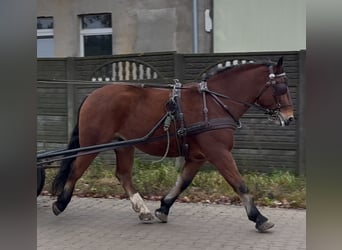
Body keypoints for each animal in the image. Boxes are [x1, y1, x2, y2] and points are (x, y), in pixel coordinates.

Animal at [50, 57, 294, 232]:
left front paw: (163, 207)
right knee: (76, 169)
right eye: (281, 87)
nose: (290, 117)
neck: (214, 103)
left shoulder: (198, 156)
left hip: (123, 144)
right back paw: (60, 203)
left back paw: (143, 210)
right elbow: (239, 184)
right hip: (92, 143)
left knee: (123, 175)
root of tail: (93, 94)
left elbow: (182, 182)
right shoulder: (219, 152)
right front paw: (259, 217)